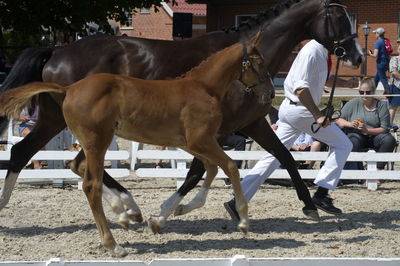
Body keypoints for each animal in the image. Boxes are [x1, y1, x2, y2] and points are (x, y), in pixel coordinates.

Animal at [0, 0, 362, 233]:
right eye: (340, 19)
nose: (357, 56)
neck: (236, 66)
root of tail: (57, 50)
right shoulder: (214, 132)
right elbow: (198, 172)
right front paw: (166, 213)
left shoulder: (251, 124)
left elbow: (284, 157)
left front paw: (310, 206)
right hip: (64, 123)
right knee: (28, 153)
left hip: (72, 124)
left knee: (57, 159)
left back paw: (126, 209)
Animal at [0, 34, 272, 256]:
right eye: (259, 62)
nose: (269, 93)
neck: (204, 88)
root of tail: (68, 88)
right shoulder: (201, 140)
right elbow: (230, 167)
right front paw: (243, 221)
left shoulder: (192, 143)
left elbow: (211, 169)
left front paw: (180, 209)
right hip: (97, 141)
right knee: (89, 184)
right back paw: (114, 243)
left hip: (88, 139)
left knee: (74, 166)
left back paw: (124, 213)